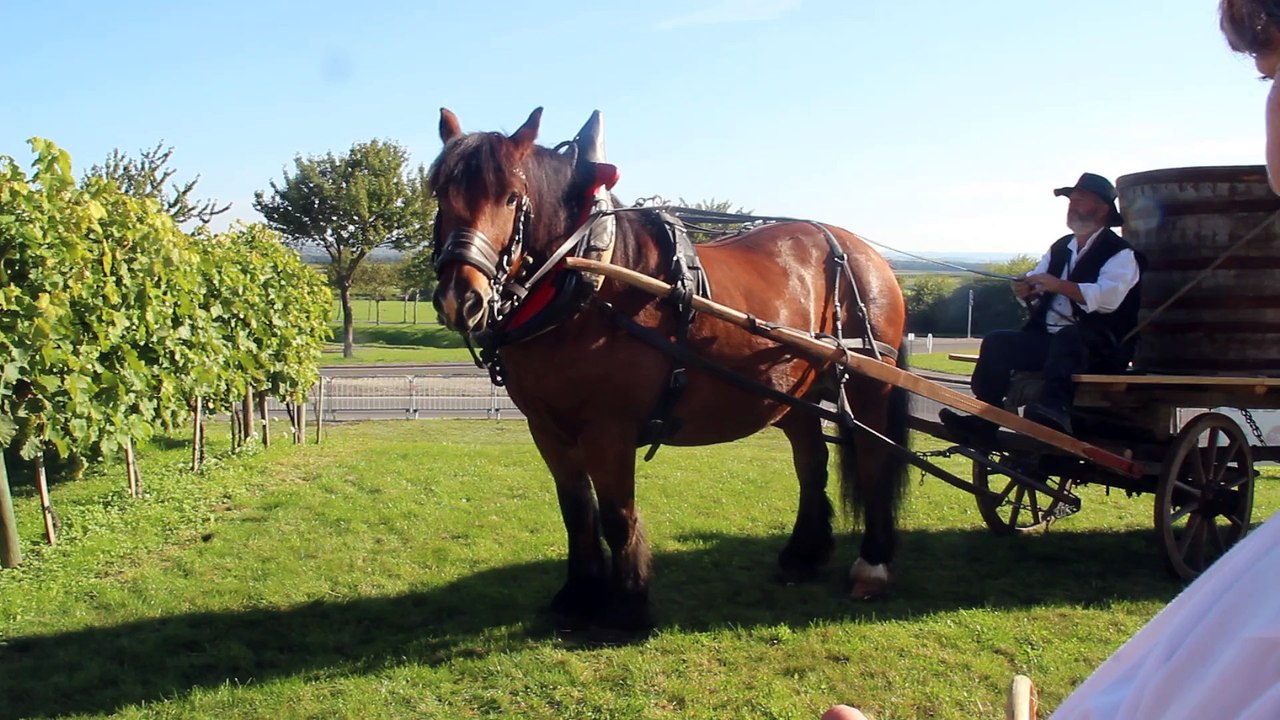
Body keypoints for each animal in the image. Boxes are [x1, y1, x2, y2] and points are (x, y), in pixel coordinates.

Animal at [430, 107, 910, 638]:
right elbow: (577, 511)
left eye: (512, 197)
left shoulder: (609, 430)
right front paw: (578, 595)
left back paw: (873, 565)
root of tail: (861, 249)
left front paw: (629, 606)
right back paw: (803, 555)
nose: (461, 298)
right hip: (793, 392)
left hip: (869, 382)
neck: (590, 281)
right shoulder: (548, 428)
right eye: (439, 193)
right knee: (811, 464)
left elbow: (617, 516)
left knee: (873, 460)